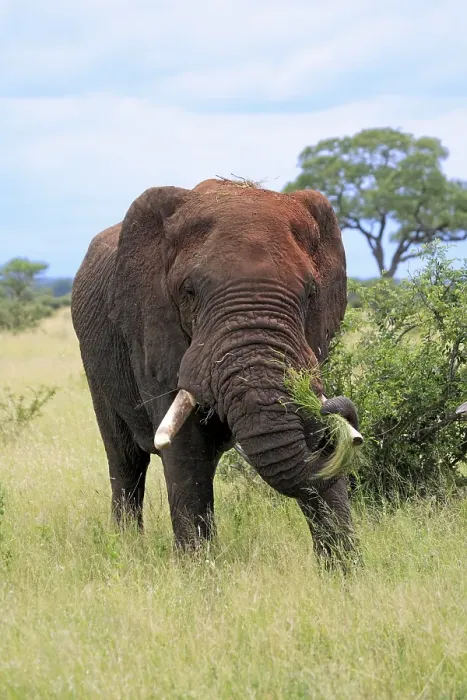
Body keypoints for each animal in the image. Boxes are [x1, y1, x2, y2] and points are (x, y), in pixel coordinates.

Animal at [71, 177, 362, 565]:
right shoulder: (152, 330)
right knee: (125, 459)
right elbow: (185, 451)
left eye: (311, 292)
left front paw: (346, 571)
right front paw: (199, 572)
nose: (339, 411)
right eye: (189, 291)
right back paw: (126, 546)